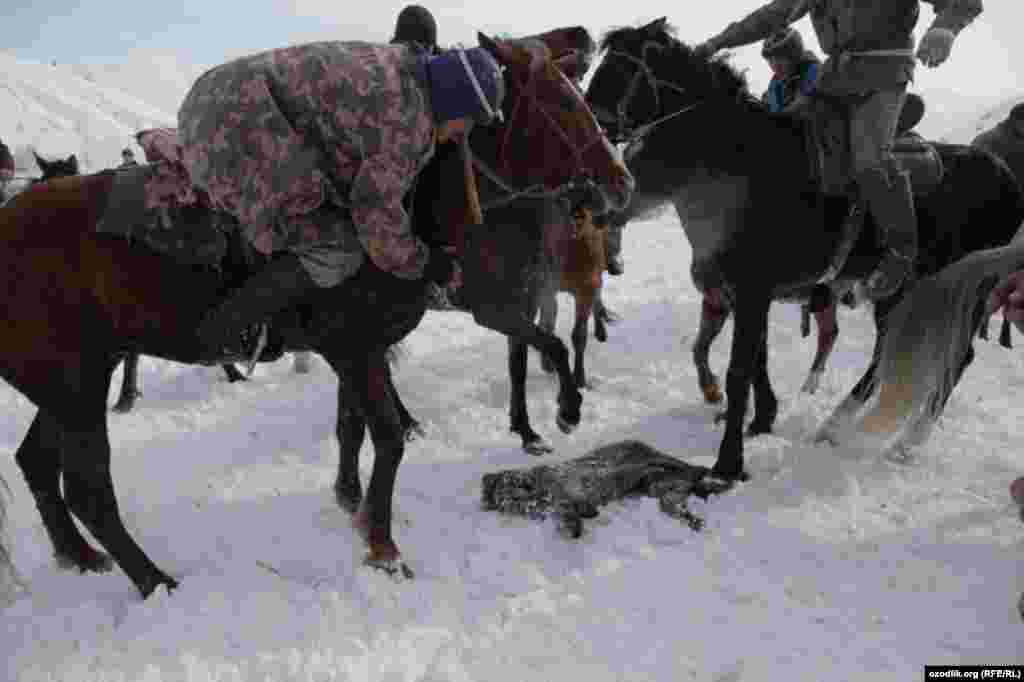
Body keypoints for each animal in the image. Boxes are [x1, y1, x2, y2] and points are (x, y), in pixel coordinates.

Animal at [0, 30, 630, 593]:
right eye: (561, 103)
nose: (618, 183)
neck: (419, 201)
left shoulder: (358, 349)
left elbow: (356, 425)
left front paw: (352, 500)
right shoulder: (368, 341)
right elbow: (390, 436)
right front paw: (382, 545)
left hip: (69, 384)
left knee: (36, 463)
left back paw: (80, 555)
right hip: (77, 387)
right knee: (88, 490)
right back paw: (154, 580)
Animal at [585, 17, 1024, 477]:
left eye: (621, 69)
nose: (598, 163)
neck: (737, 167)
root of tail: (1006, 176)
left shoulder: (752, 290)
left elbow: (739, 370)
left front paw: (728, 462)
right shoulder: (745, 294)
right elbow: (757, 361)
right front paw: (762, 419)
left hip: (960, 290)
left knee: (956, 357)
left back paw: (906, 441)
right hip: (904, 293)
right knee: (892, 354)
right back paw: (837, 426)